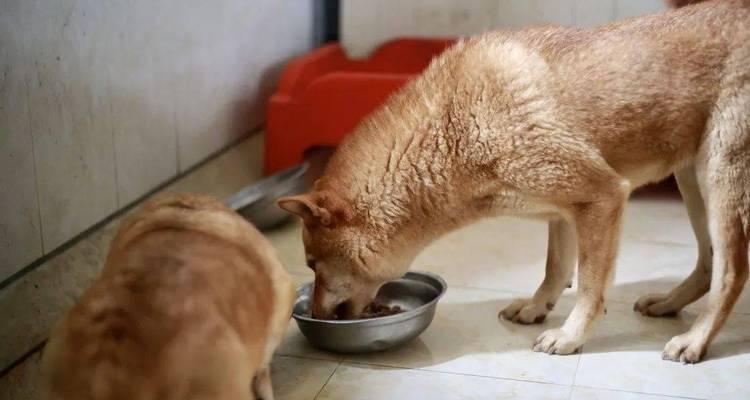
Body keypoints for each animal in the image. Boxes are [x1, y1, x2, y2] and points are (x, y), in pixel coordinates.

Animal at [280, 0, 748, 364]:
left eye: (312, 264)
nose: (313, 316)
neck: (452, 131)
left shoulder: (601, 196)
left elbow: (590, 286)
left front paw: (570, 337)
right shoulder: (567, 211)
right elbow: (556, 269)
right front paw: (537, 308)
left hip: (719, 178)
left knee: (731, 273)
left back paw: (695, 340)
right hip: (692, 182)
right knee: (708, 264)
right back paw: (668, 303)